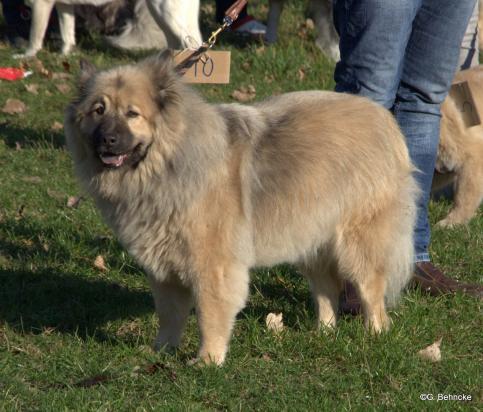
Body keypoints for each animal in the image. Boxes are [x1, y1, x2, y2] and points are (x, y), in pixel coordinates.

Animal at [15, 0, 200, 58]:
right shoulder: (64, 6)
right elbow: (67, 34)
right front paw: (64, 54)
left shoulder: (40, 5)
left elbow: (34, 37)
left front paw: (26, 56)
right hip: (162, 15)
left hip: (165, 12)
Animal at [64, 53, 420, 366]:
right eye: (98, 111)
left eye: (132, 114)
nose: (107, 139)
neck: (169, 161)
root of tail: (385, 120)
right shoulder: (164, 266)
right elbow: (169, 314)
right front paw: (162, 351)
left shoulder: (212, 266)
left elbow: (209, 314)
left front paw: (208, 360)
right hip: (310, 237)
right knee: (326, 288)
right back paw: (323, 332)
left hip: (358, 242)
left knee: (371, 290)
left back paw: (375, 334)